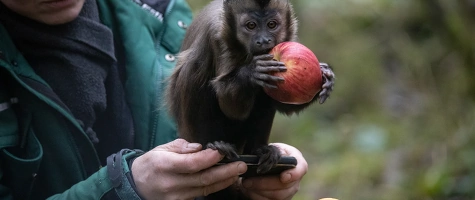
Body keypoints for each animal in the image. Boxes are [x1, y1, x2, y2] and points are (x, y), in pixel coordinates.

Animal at [167, 0, 334, 198]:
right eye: (251, 26)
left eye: (272, 25)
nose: (264, 40)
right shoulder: (218, 37)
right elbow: (230, 106)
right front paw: (251, 73)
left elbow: (281, 104)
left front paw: (325, 77)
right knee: (194, 70)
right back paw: (214, 144)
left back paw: (260, 150)